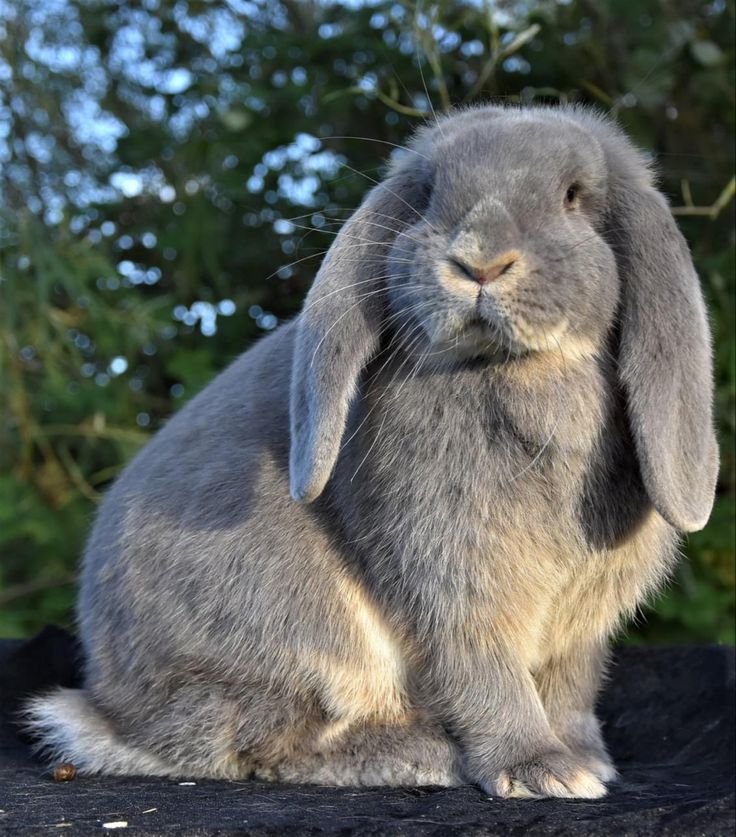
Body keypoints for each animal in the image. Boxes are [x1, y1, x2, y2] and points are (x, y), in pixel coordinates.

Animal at [24, 104, 720, 796]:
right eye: (429, 194)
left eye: (574, 197)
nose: (478, 262)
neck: (514, 368)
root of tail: (110, 711)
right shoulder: (451, 576)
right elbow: (483, 670)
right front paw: (540, 771)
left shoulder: (579, 627)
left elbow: (569, 689)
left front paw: (586, 760)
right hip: (289, 631)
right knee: (260, 740)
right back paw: (419, 755)